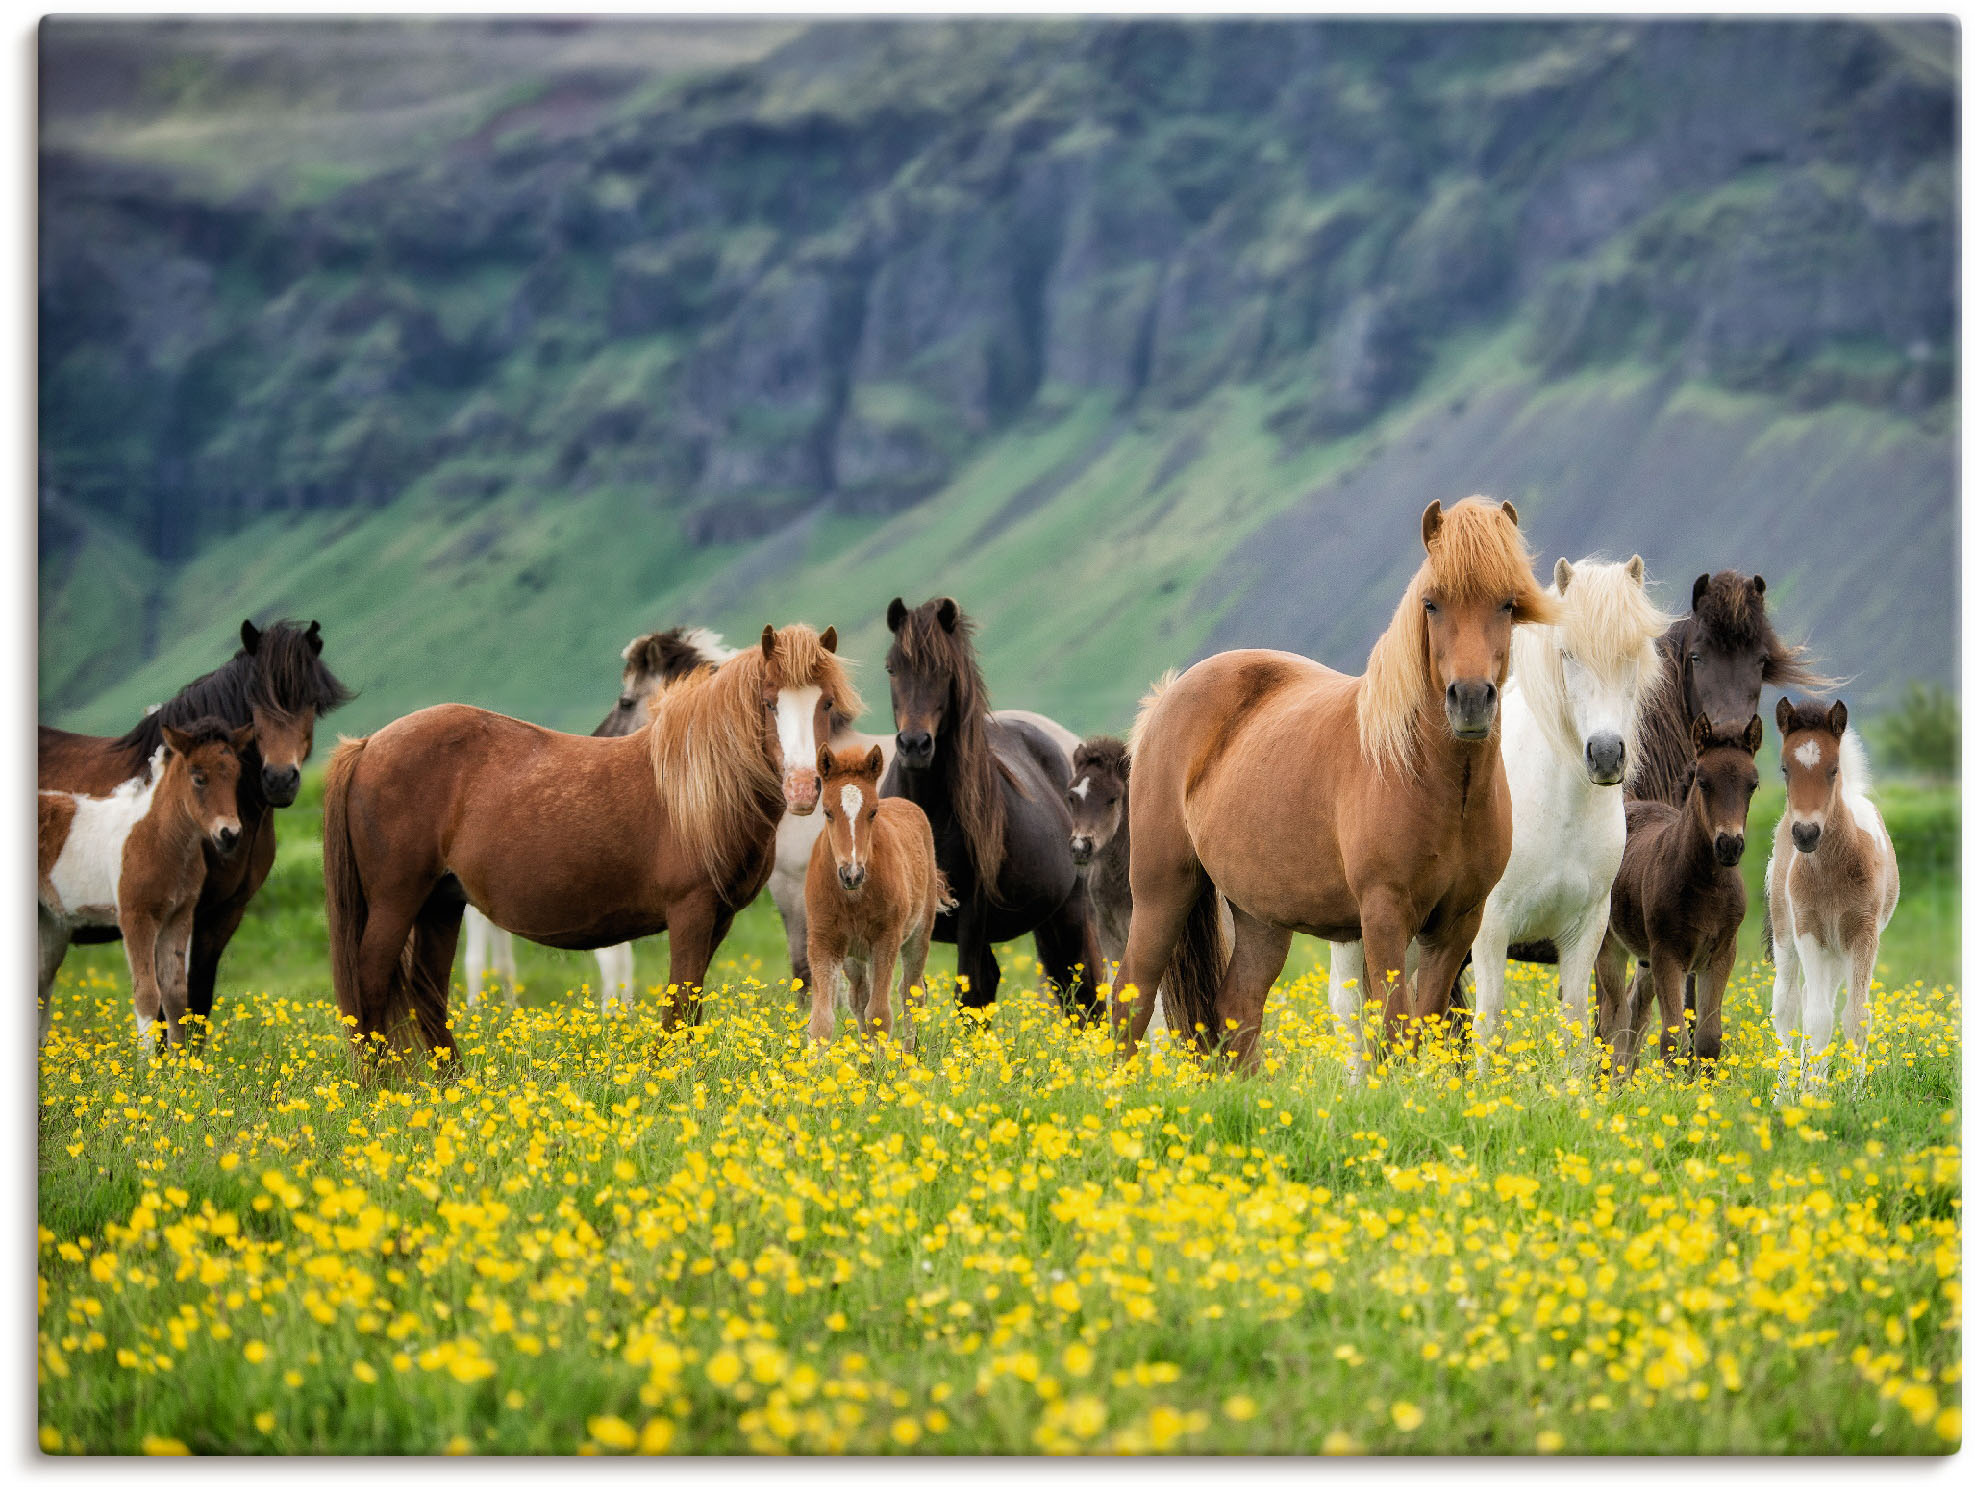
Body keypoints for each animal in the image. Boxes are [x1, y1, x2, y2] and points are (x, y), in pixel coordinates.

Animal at [319, 624, 853, 1058]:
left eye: (826, 702)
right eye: (769, 702)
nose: (803, 789)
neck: (695, 783)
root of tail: (367, 745)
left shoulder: (717, 918)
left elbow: (691, 1006)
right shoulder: (691, 910)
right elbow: (679, 1004)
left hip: (441, 903)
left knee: (428, 993)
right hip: (395, 902)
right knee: (370, 987)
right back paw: (376, 1086)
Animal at [884, 596, 1106, 1018]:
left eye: (945, 670)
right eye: (892, 668)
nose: (915, 745)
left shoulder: (973, 910)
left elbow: (969, 993)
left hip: (1067, 913)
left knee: (1083, 994)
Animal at [1113, 495, 1556, 1066]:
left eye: (1507, 603)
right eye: (1431, 603)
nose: (1471, 699)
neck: (1432, 783)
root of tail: (1166, 698)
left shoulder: (1458, 924)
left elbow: (1428, 1023)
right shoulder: (1384, 915)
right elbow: (1396, 1028)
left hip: (1260, 917)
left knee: (1237, 1006)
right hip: (1162, 890)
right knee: (1131, 997)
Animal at [1327, 552, 1666, 1074]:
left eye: (1632, 654)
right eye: (1567, 654)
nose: (1606, 754)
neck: (1558, 810)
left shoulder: (1585, 931)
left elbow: (1574, 1031)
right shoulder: (1490, 929)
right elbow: (1489, 1026)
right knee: (1349, 1013)